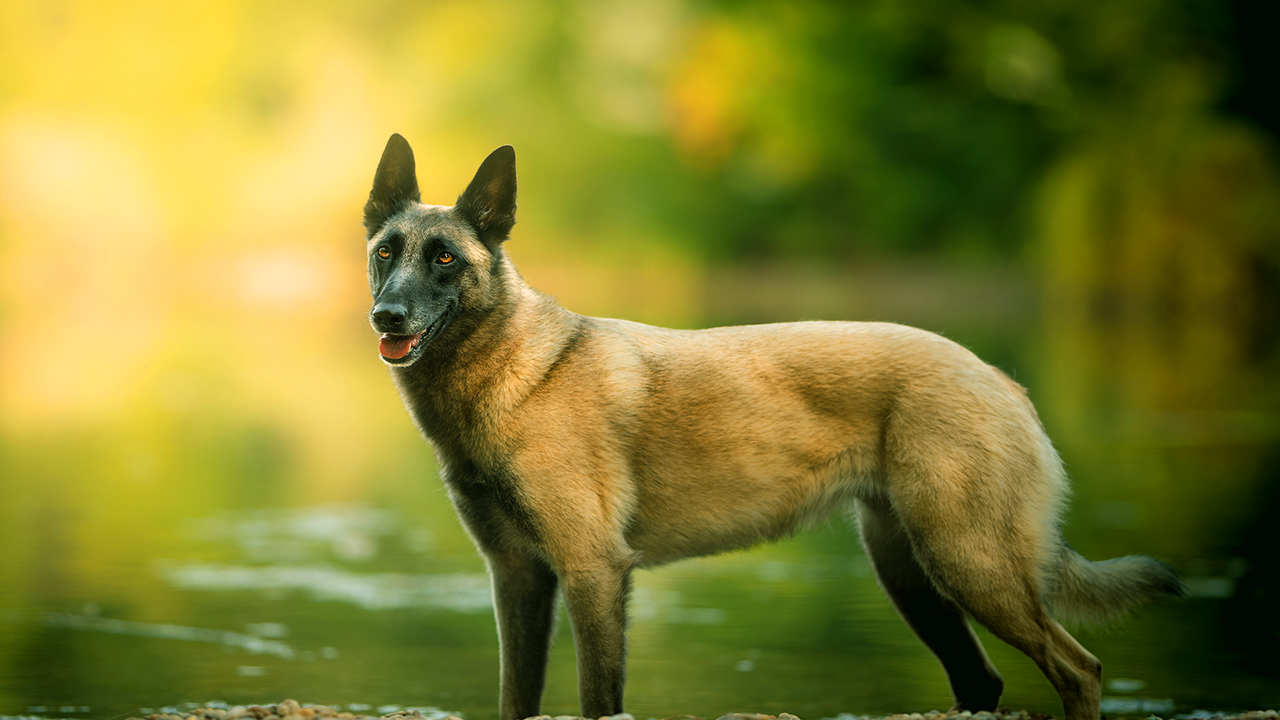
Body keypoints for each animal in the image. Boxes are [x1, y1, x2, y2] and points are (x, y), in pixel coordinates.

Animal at [366, 133, 1182, 717]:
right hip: (914, 575)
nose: (386, 316)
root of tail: (997, 377)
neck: (515, 372)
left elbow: (600, 700)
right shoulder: (519, 581)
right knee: (983, 683)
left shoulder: (592, 574)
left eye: (444, 259)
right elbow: (516, 699)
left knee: (1078, 669)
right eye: (385, 254)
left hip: (970, 565)